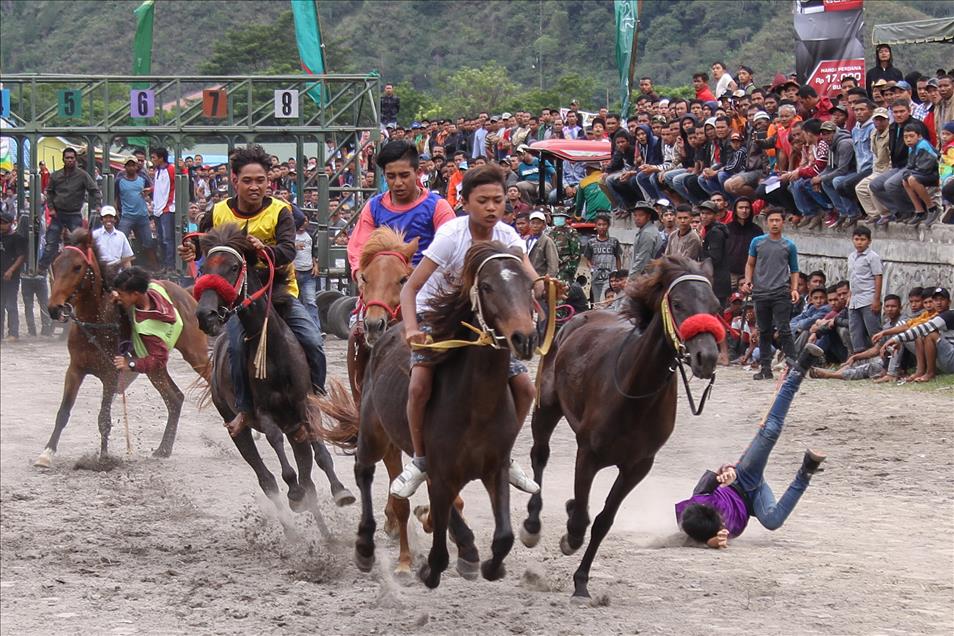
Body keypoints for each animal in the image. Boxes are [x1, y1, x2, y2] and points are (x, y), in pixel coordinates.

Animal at [38, 229, 208, 468]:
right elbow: (63, 412)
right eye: (56, 263)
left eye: (77, 267)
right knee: (175, 398)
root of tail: (186, 293)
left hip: (196, 354)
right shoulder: (75, 370)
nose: (54, 308)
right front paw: (47, 453)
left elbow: (104, 419)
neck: (97, 321)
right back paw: (163, 449)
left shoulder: (111, 374)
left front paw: (103, 458)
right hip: (154, 365)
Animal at [320, 240, 540, 588]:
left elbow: (502, 534)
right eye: (487, 286)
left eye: (530, 285)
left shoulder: (495, 469)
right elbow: (446, 522)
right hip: (374, 433)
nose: (525, 337)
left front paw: (486, 562)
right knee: (365, 472)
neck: (477, 405)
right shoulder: (440, 471)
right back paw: (369, 548)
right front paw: (458, 555)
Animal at [520, 255, 720, 600]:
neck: (636, 393)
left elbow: (603, 520)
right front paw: (569, 539)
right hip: (546, 408)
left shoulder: (637, 466)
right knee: (540, 456)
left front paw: (582, 582)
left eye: (716, 304)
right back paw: (532, 525)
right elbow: (581, 520)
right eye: (678, 303)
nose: (705, 357)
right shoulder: (588, 454)